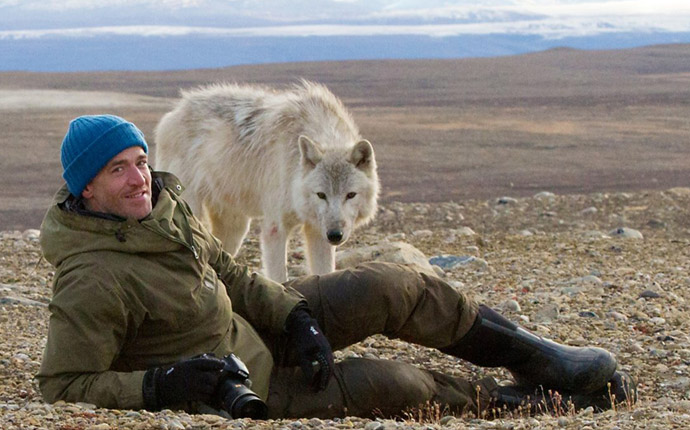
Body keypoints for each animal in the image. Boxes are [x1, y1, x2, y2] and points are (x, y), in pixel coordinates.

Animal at [154, 80, 378, 282]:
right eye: (321, 195)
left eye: (350, 195)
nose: (335, 235)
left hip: (235, 228)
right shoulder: (275, 229)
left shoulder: (316, 231)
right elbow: (279, 279)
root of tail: (174, 112)